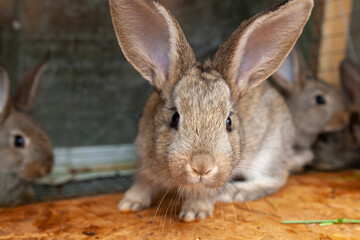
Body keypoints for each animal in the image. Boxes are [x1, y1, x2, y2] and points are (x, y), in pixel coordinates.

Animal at [109, 0, 312, 221]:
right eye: (174, 118)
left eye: (228, 122)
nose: (202, 167)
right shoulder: (144, 163)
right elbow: (143, 182)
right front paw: (129, 203)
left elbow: (204, 193)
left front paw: (194, 213)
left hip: (269, 151)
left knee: (275, 179)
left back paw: (235, 192)